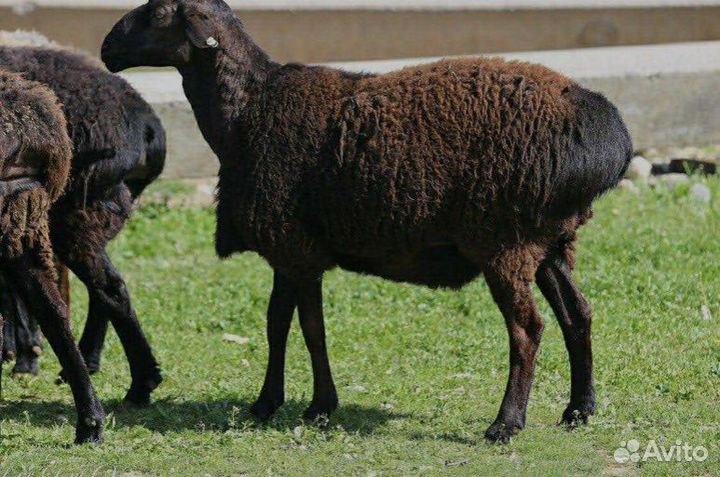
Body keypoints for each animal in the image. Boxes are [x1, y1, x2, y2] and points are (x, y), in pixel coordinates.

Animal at [0, 31, 165, 406]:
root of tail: (148, 126)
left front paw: (25, 356)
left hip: (75, 213)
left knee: (109, 288)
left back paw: (138, 382)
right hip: (95, 213)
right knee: (103, 286)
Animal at [102, 0, 633, 442]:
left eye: (158, 11)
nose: (107, 48)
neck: (248, 112)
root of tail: (604, 134)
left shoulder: (294, 247)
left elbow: (306, 327)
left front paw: (311, 405)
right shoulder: (293, 254)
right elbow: (281, 325)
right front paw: (276, 404)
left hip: (506, 241)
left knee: (528, 329)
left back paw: (506, 423)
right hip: (551, 242)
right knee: (578, 314)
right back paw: (579, 410)